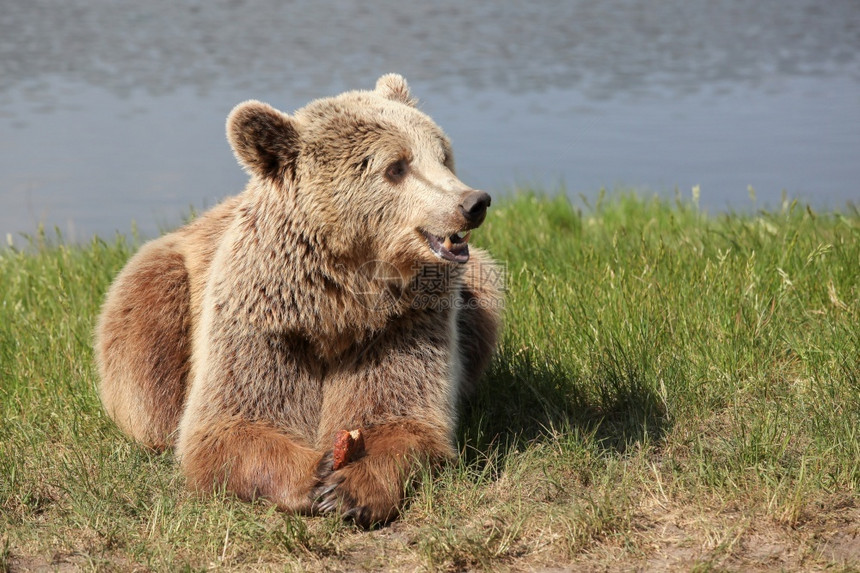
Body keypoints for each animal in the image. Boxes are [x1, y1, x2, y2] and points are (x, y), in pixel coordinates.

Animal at [94, 73, 500, 524]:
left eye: (443, 155)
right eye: (396, 166)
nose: (473, 202)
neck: (339, 302)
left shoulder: (401, 324)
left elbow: (402, 414)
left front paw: (353, 486)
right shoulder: (264, 322)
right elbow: (230, 423)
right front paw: (315, 472)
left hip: (475, 289)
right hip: (155, 290)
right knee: (147, 369)